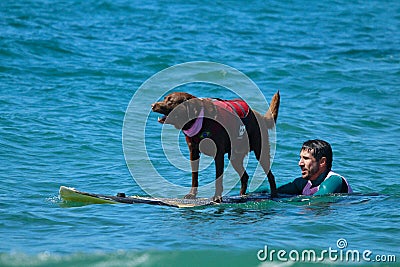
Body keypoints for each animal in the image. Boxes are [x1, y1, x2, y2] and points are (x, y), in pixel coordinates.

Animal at [152, 91, 280, 202]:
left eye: (170, 101)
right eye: (165, 98)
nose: (152, 105)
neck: (199, 119)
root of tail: (260, 116)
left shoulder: (218, 154)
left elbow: (218, 178)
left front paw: (217, 197)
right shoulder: (193, 152)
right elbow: (194, 176)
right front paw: (192, 195)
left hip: (260, 151)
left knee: (270, 175)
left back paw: (274, 195)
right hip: (235, 157)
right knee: (245, 176)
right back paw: (242, 196)